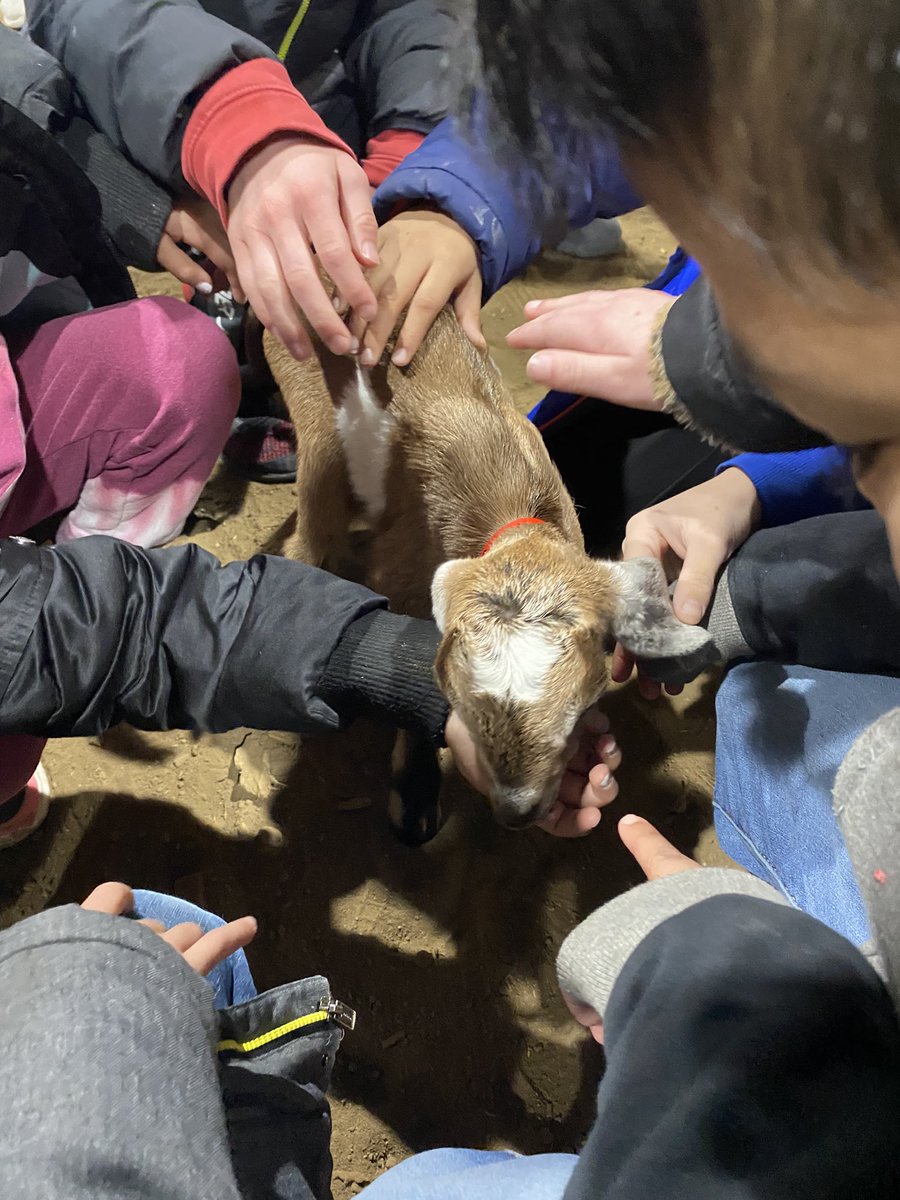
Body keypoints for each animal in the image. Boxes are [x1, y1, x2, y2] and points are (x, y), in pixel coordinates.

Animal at [264, 307, 716, 843]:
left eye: (577, 715)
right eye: (463, 710)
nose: (517, 812)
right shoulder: (403, 570)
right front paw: (414, 800)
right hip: (317, 432)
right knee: (311, 535)